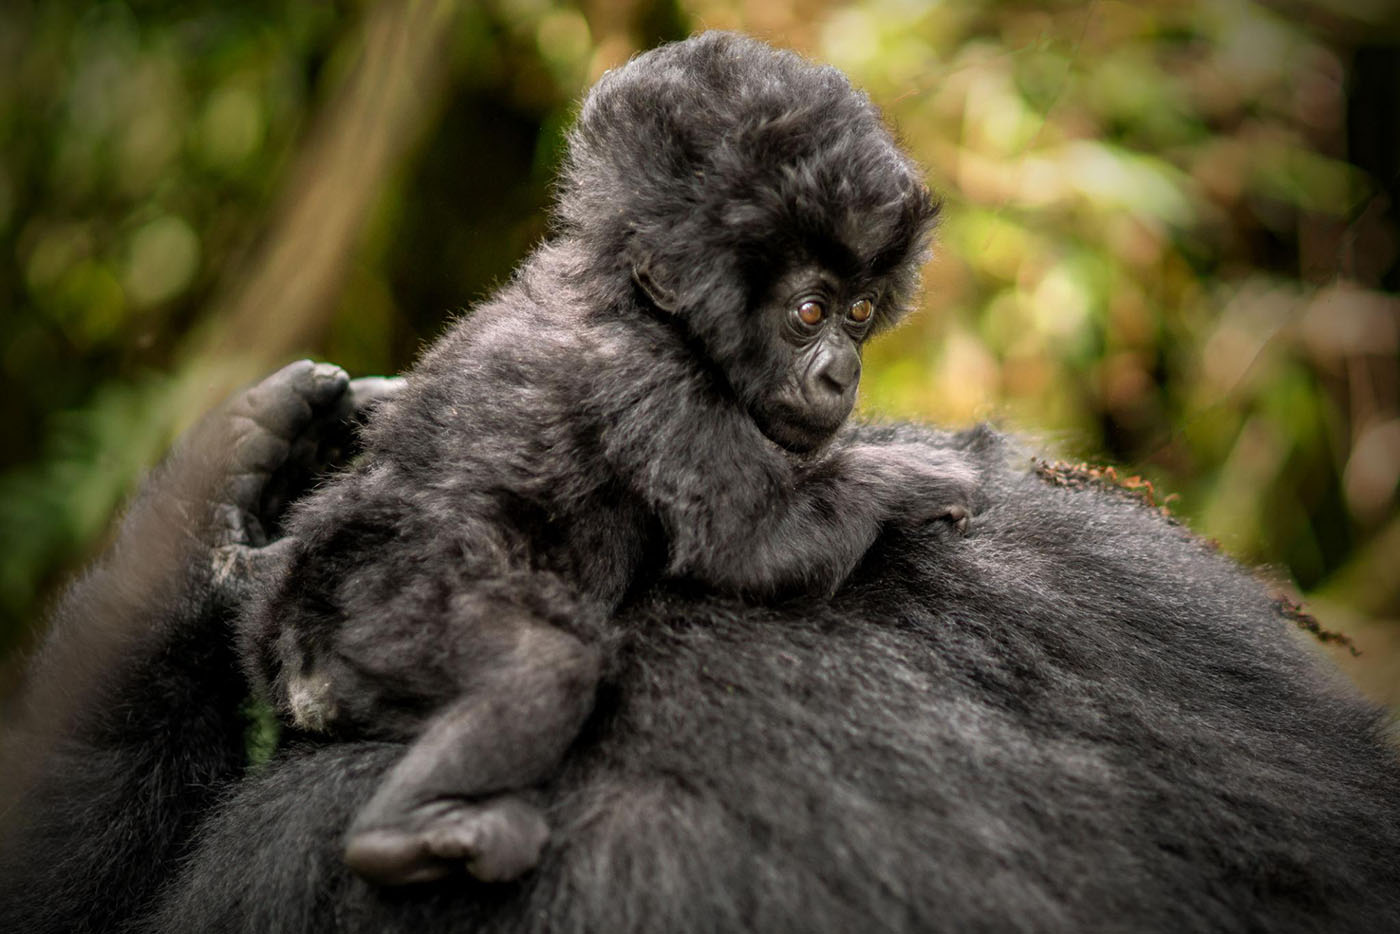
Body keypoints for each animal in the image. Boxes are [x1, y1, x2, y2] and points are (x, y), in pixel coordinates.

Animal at [237, 32, 976, 887]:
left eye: (860, 312)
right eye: (809, 312)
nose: (842, 374)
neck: (630, 298)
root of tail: (291, 654)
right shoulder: (653, 383)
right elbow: (751, 546)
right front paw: (914, 477)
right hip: (383, 617)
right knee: (544, 668)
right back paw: (403, 831)